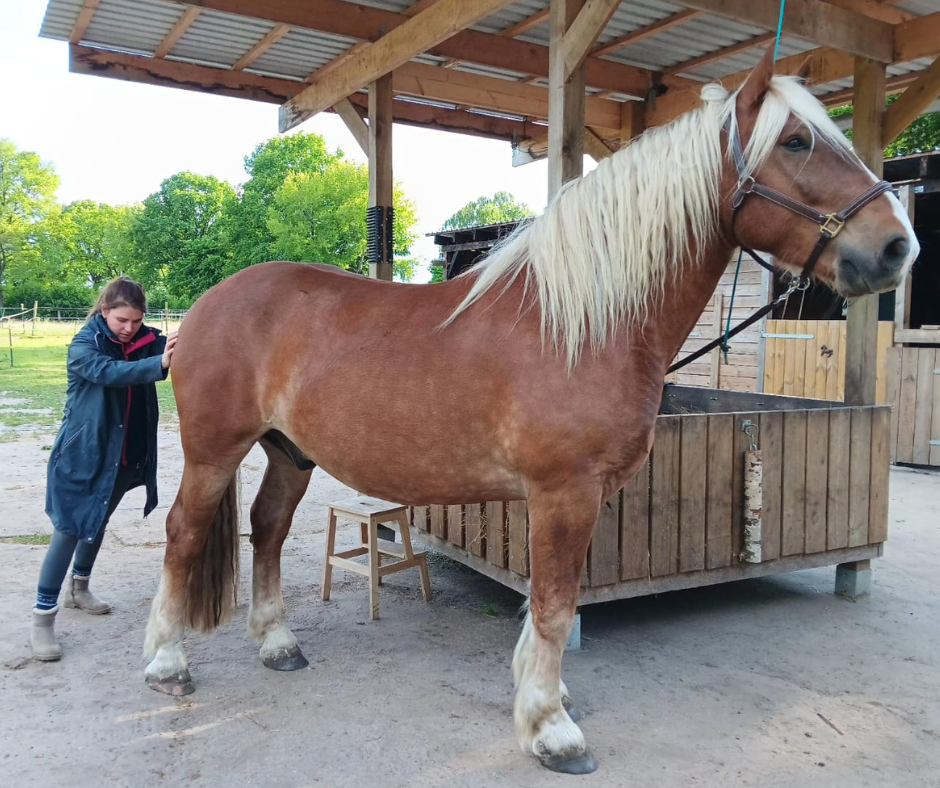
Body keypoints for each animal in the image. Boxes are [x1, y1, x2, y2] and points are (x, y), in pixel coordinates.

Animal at [143, 48, 917, 774]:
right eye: (796, 142)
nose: (897, 246)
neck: (581, 324)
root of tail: (206, 305)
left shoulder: (582, 496)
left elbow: (556, 602)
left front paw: (548, 698)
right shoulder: (563, 493)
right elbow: (552, 602)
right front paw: (551, 727)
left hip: (289, 452)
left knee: (267, 529)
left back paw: (277, 644)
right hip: (214, 450)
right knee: (184, 533)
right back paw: (167, 663)